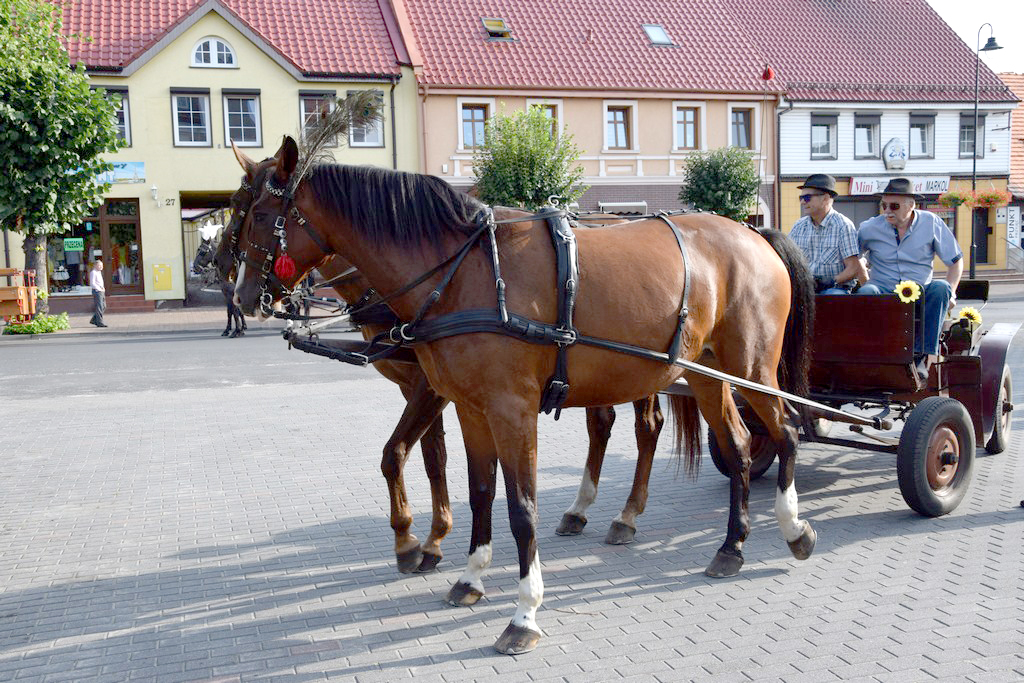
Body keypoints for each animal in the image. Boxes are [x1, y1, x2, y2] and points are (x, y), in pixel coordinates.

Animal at [221, 148, 671, 573]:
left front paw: (411, 540)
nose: (236, 288)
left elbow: (396, 452)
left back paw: (626, 515)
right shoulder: (429, 386)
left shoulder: (433, 388)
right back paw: (579, 510)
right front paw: (432, 539)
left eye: (255, 213)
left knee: (647, 426)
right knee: (602, 424)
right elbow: (430, 456)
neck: (445, 274)